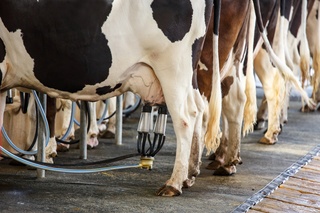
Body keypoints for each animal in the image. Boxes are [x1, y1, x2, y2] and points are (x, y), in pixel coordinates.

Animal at [0, 0, 222, 196]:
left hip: (173, 67)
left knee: (185, 118)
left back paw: (174, 183)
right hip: (188, 74)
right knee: (199, 108)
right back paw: (189, 175)